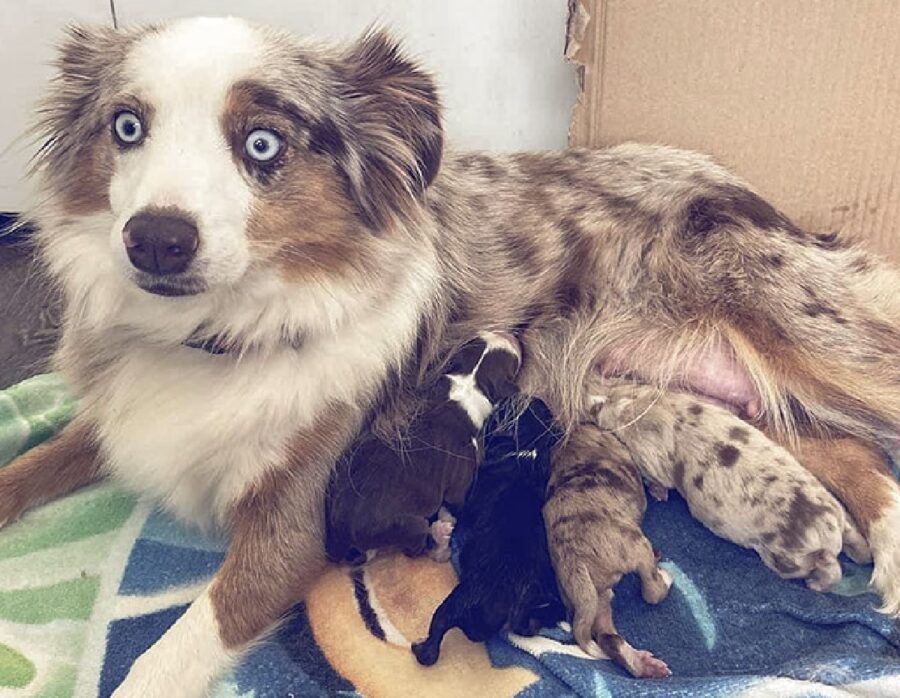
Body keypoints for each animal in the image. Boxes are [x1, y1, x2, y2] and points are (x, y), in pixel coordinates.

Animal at [326, 328, 520, 564]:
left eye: (477, 340)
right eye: (514, 364)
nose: (508, 334)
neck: (469, 382)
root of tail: (341, 536)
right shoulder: (460, 481)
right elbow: (457, 501)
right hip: (409, 526)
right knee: (415, 549)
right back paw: (439, 535)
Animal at [414, 396, 568, 664]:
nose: (510, 396)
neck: (529, 448)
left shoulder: (468, 496)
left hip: (460, 598)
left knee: (438, 629)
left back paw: (422, 649)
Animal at [540, 418, 676, 676]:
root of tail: (574, 560)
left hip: (595, 599)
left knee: (608, 639)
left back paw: (643, 665)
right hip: (636, 547)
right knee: (651, 591)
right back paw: (663, 575)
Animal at [592, 380, 872, 588]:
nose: (596, 403)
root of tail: (828, 528)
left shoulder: (651, 457)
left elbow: (657, 478)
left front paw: (658, 493)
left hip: (787, 557)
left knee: (830, 569)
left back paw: (814, 585)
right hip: (838, 512)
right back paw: (864, 555)